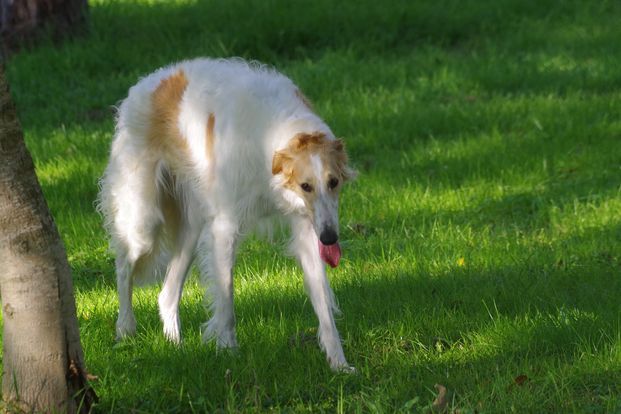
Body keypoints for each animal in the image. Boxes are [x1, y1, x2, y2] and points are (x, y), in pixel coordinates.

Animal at [97, 56, 354, 370]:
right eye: (306, 186)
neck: (268, 135)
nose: (330, 239)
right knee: (124, 269)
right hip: (143, 223)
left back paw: (176, 347)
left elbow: (324, 307)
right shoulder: (225, 227)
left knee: (166, 295)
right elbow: (226, 298)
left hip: (191, 228)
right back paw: (125, 329)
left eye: (334, 182)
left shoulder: (307, 226)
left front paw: (339, 363)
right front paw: (227, 350)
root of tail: (146, 83)